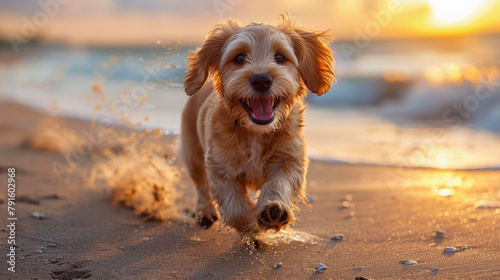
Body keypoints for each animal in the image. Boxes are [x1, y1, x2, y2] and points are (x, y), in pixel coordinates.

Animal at [181, 14, 336, 235]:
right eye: (238, 58)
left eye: (280, 57)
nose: (261, 80)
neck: (256, 132)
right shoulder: (220, 166)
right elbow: (235, 207)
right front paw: (250, 225)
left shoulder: (290, 158)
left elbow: (280, 183)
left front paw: (274, 209)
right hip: (192, 153)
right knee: (201, 186)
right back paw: (205, 212)